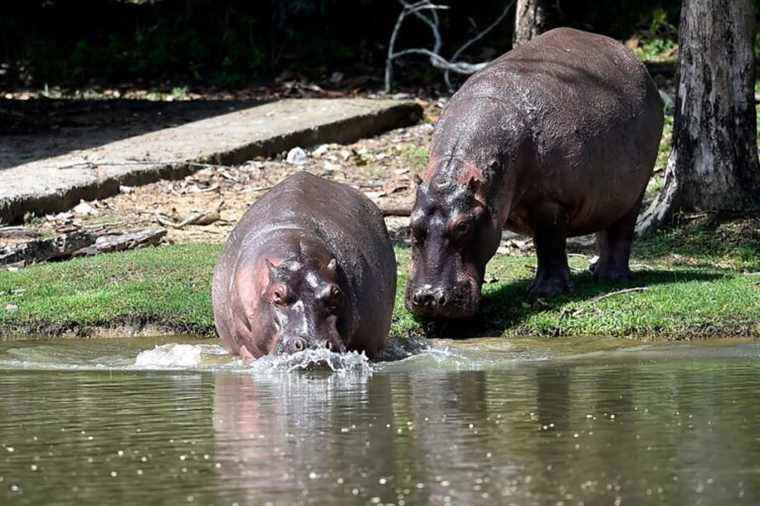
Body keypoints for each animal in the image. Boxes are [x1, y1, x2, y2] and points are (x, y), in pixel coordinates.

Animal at [406, 25, 664, 318]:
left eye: (463, 226)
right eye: (411, 226)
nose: (428, 298)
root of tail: (633, 60)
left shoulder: (550, 202)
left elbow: (549, 243)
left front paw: (546, 292)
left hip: (637, 188)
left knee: (622, 228)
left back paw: (612, 277)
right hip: (609, 192)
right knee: (605, 223)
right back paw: (596, 269)